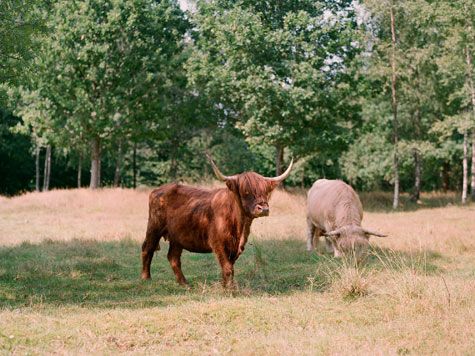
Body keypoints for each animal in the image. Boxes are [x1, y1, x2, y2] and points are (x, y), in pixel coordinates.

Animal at [139, 155, 292, 286]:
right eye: (245, 192)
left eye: (265, 192)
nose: (264, 208)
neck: (239, 228)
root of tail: (158, 190)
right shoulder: (217, 242)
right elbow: (227, 267)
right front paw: (229, 289)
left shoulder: (236, 247)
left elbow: (230, 267)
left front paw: (227, 285)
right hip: (154, 227)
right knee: (148, 248)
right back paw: (146, 278)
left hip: (177, 236)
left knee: (173, 257)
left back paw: (184, 283)